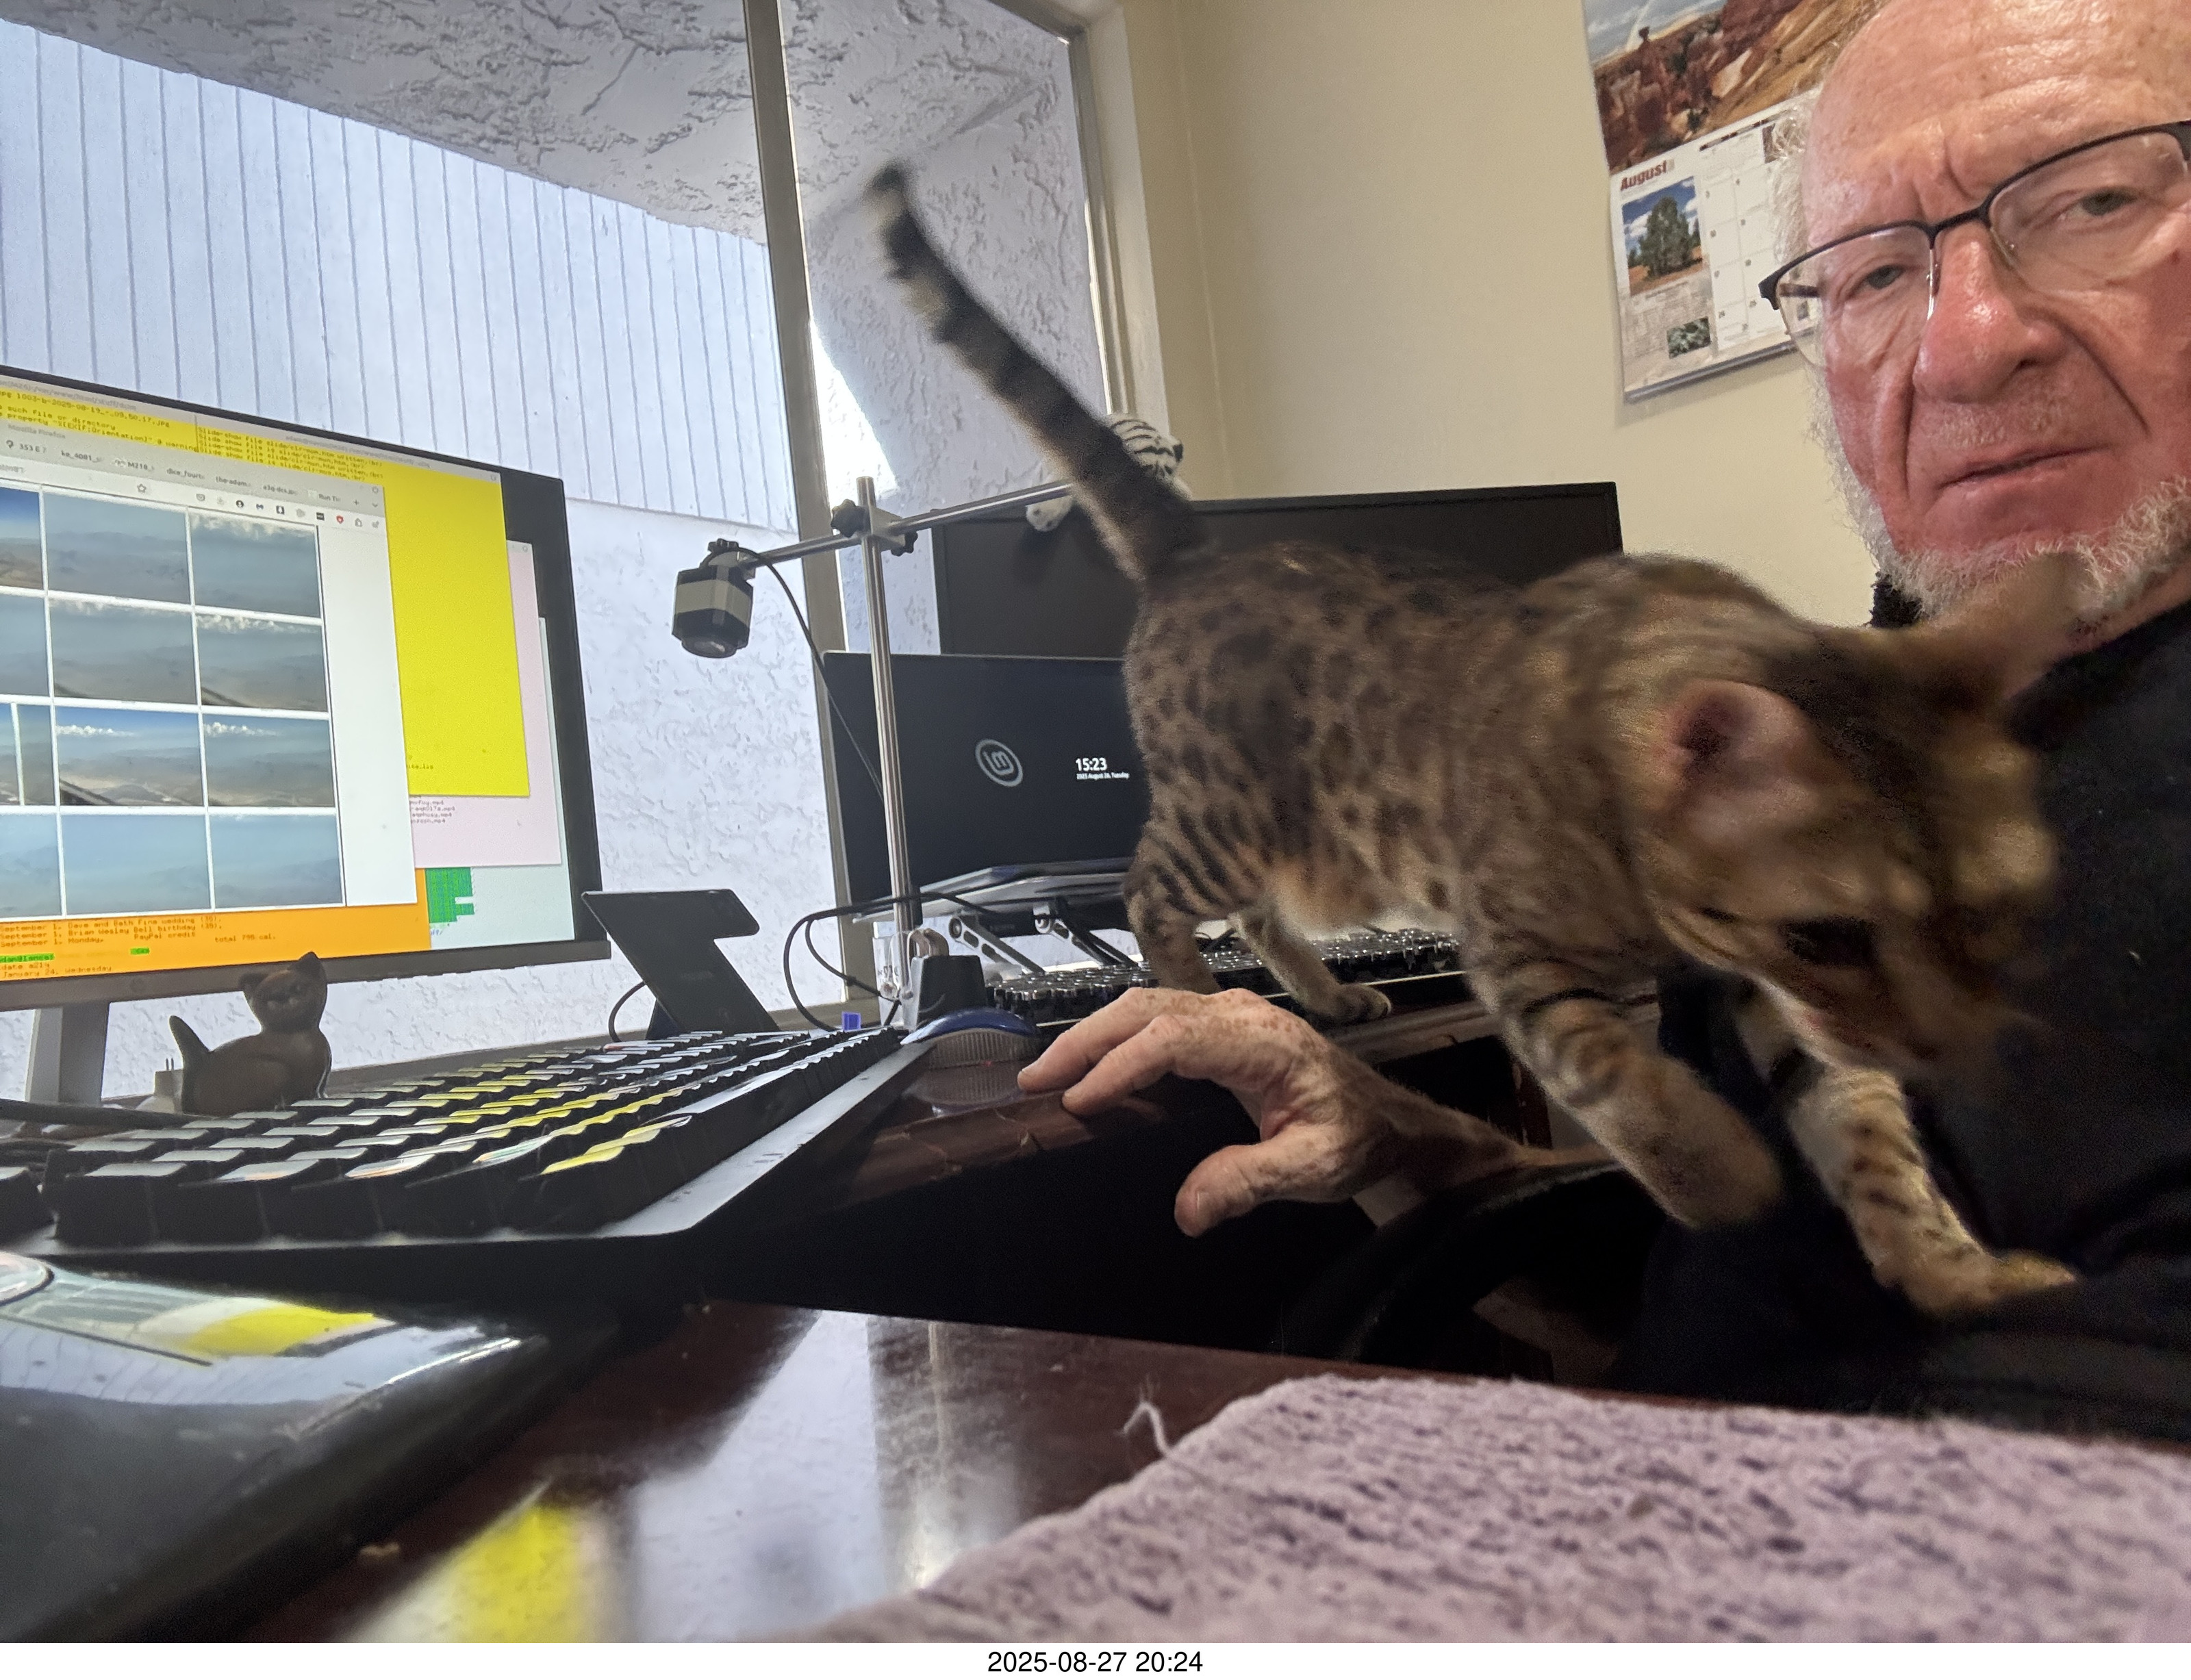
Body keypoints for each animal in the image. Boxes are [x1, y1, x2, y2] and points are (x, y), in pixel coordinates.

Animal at [171, 951, 332, 1118]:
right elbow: (311, 1094)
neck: (294, 1034)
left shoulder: (323, 1076)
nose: (281, 996)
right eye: (268, 995)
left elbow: (321, 1092)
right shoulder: (310, 1083)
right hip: (274, 1070)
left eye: (297, 989)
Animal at [868, 162, 2079, 1317]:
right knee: (1150, 886)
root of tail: (1194, 542)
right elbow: (1622, 1077)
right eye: (1829, 935)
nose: (1944, 1052)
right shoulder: (1520, 954)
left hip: (1326, 852)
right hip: (1232, 814)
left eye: (1990, 913)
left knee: (1255, 907)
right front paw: (1718, 1170)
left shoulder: (1769, 998)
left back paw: (1326, 994)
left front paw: (1952, 1267)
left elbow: (1871, 1136)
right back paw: (1198, 993)